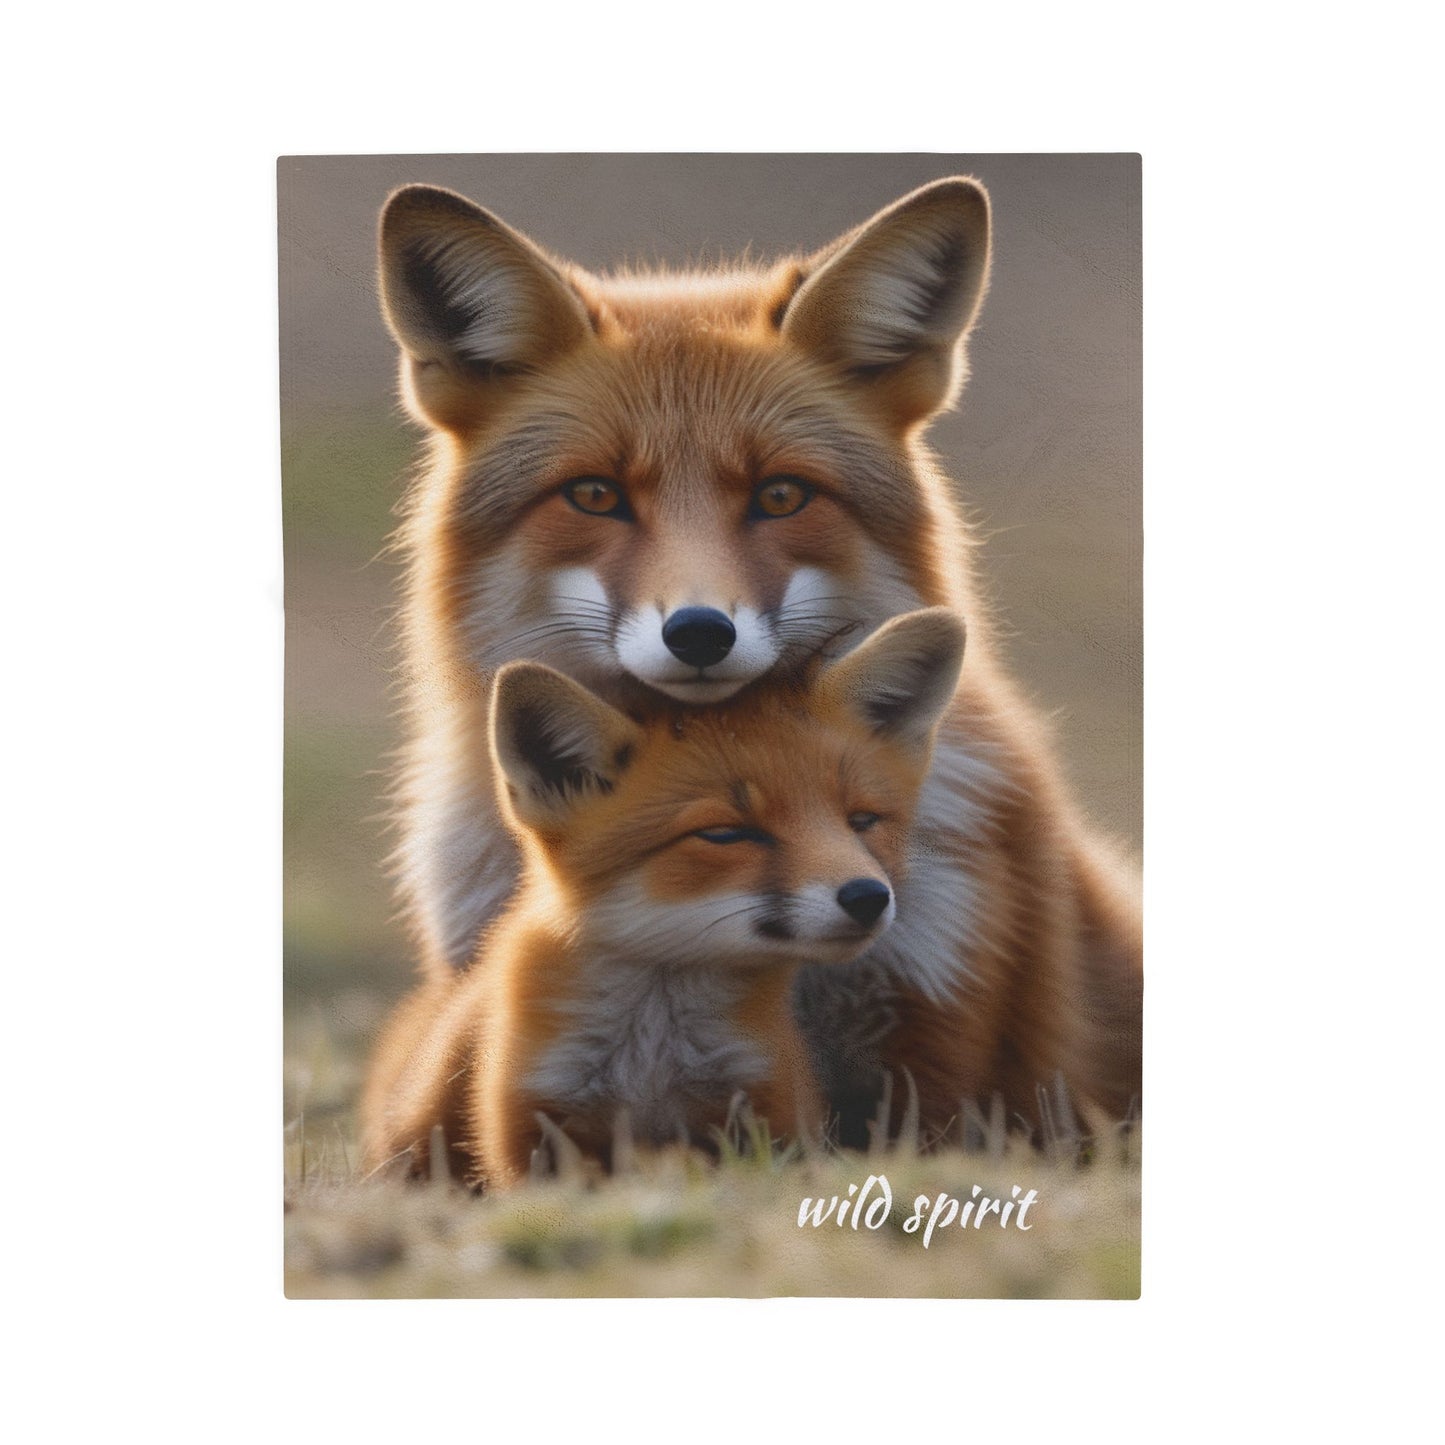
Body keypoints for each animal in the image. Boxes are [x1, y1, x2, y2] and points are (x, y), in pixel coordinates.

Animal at [361, 609, 967, 1187]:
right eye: (726, 833)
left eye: (861, 821)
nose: (868, 897)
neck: (652, 1058)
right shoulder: (535, 1128)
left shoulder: (766, 1110)